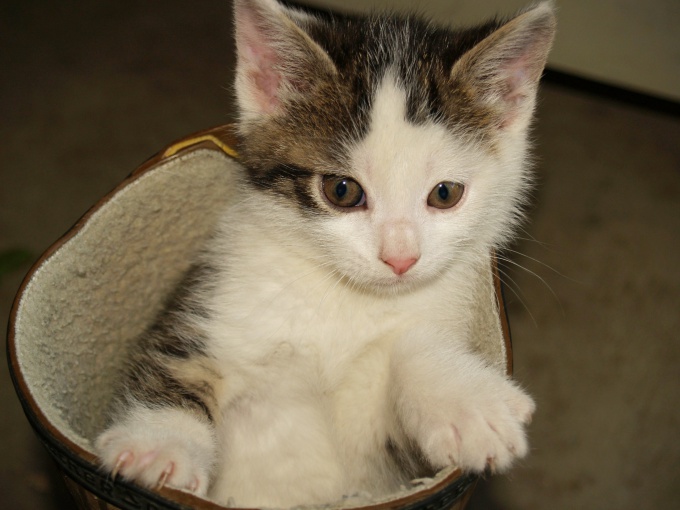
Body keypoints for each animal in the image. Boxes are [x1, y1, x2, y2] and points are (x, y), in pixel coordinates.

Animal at [95, 0, 556, 506]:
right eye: (342, 190)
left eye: (445, 194)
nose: (399, 259)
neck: (346, 298)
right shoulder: (215, 295)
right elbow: (175, 362)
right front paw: (159, 445)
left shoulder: (394, 467)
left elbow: (412, 347)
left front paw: (467, 403)